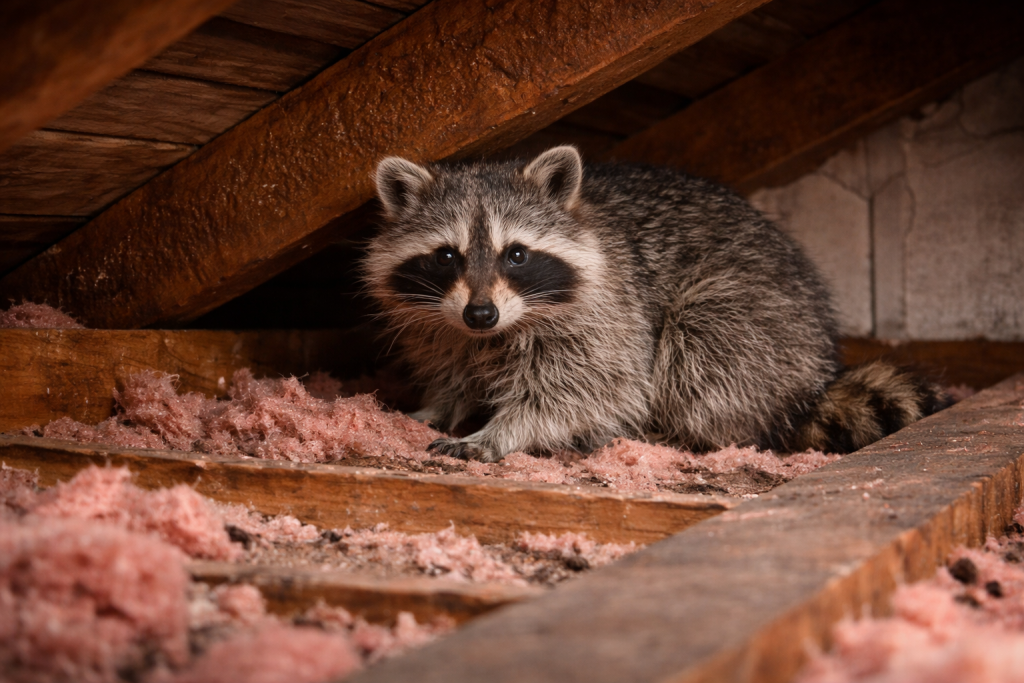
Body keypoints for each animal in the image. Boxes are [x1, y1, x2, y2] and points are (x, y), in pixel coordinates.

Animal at [363, 146, 948, 463]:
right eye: (446, 255)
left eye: (517, 254)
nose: (480, 314)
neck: (497, 331)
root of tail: (817, 376)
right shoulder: (441, 322)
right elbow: (449, 366)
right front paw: (439, 404)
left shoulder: (609, 314)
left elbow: (591, 389)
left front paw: (503, 430)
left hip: (766, 324)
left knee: (701, 350)